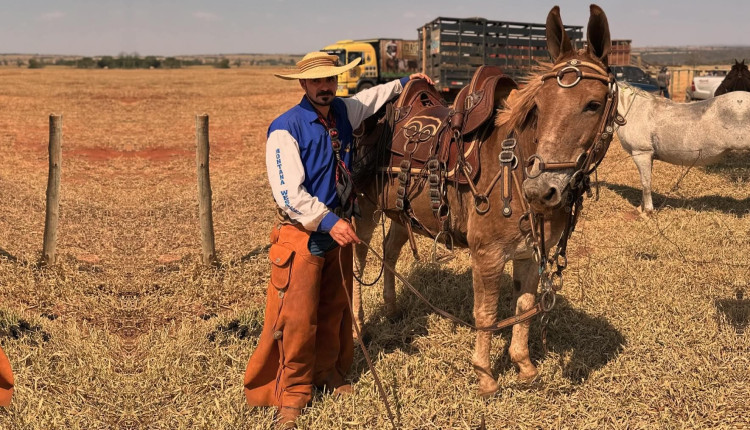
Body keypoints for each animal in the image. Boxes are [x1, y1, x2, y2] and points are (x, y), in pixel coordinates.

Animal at [616, 82, 750, 210]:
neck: (635, 110)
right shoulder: (648, 155)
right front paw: (641, 208)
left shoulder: (641, 153)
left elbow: (646, 183)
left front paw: (647, 211)